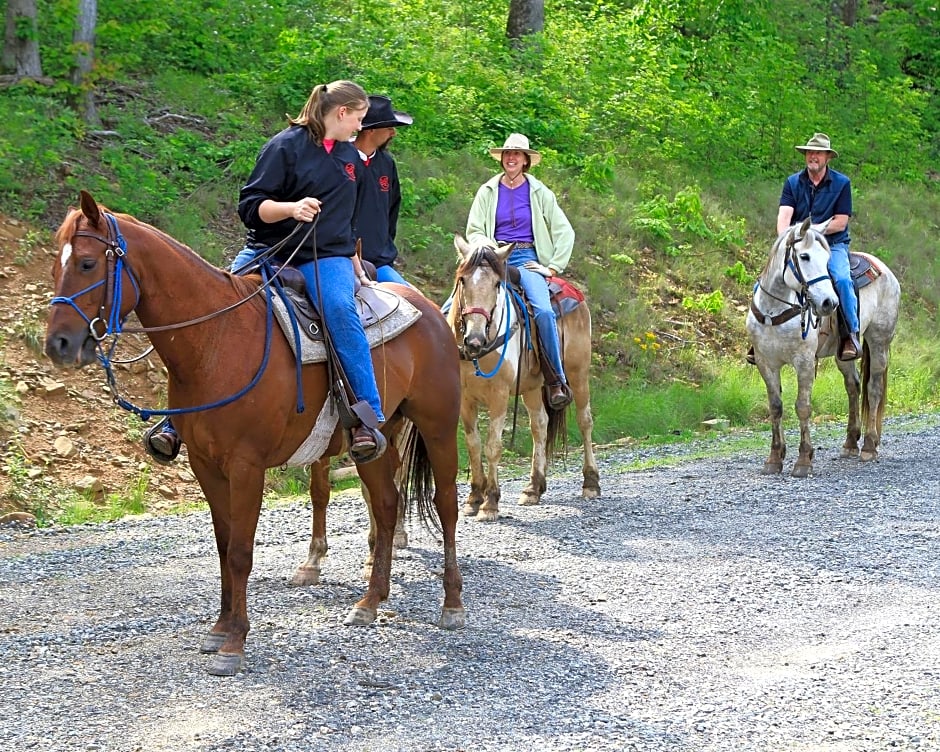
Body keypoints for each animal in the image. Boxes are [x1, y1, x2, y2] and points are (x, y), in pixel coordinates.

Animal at [44, 191, 466, 680]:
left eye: (88, 263)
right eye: (57, 264)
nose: (58, 345)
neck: (215, 342)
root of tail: (430, 308)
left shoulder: (246, 467)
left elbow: (242, 551)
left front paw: (234, 644)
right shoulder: (206, 465)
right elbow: (224, 546)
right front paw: (219, 629)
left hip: (438, 427)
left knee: (446, 505)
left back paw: (452, 604)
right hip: (376, 443)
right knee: (385, 504)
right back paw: (370, 601)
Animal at [444, 238, 600, 520]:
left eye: (497, 284)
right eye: (462, 280)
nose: (474, 339)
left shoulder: (499, 395)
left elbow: (493, 446)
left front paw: (490, 502)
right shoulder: (465, 399)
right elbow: (473, 445)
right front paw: (474, 498)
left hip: (578, 374)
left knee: (585, 422)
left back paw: (591, 483)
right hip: (532, 387)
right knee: (540, 425)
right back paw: (533, 487)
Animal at [744, 217, 900, 476]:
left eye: (827, 260)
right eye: (804, 256)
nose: (829, 303)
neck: (774, 311)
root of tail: (884, 269)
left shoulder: (804, 361)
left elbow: (803, 406)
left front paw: (803, 460)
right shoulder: (766, 363)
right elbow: (775, 407)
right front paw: (774, 458)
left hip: (879, 341)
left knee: (873, 389)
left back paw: (869, 445)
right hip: (843, 354)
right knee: (853, 386)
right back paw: (850, 442)